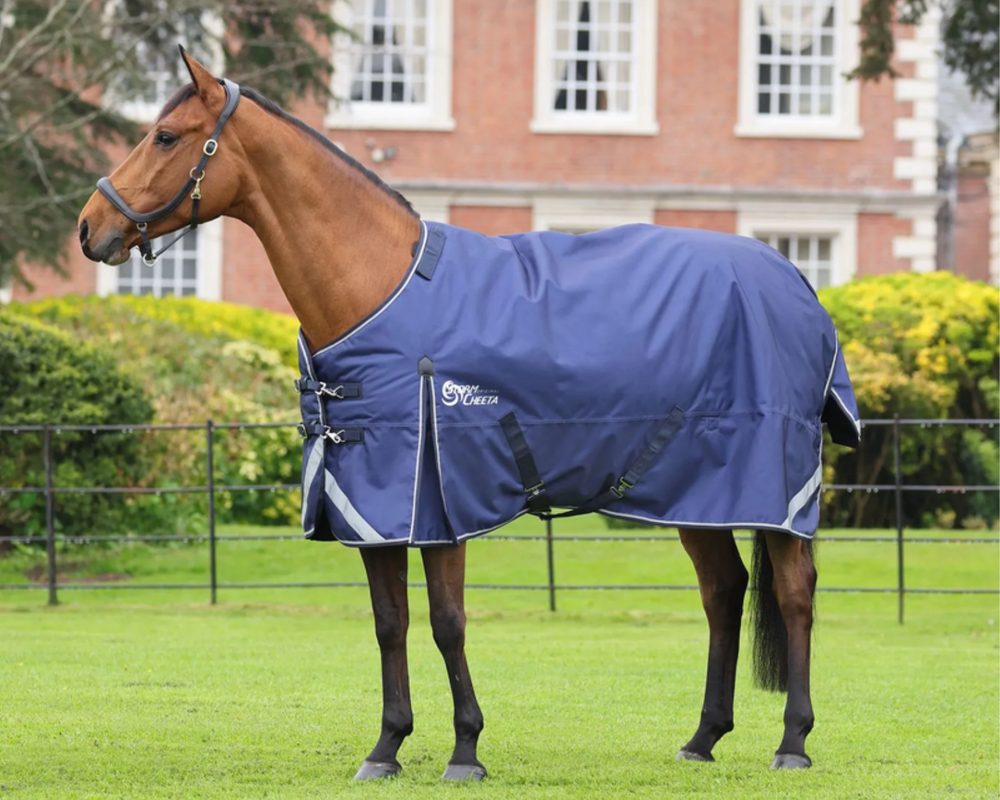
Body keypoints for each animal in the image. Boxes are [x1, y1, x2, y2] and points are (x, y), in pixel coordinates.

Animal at [78, 48, 860, 779]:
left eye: (166, 136)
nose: (90, 227)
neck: (378, 285)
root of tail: (795, 282)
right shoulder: (375, 505)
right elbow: (389, 624)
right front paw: (387, 746)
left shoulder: (438, 496)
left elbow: (447, 622)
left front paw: (464, 750)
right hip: (694, 492)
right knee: (724, 591)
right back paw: (702, 739)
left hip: (772, 490)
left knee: (795, 594)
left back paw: (792, 742)